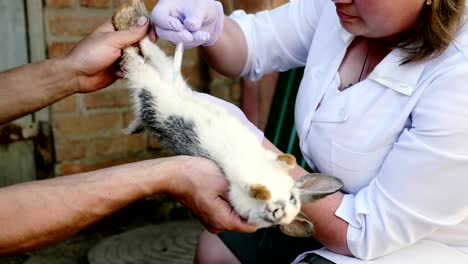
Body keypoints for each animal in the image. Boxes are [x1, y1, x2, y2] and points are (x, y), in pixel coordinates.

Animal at [112, 0, 342, 236]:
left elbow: (249, 187)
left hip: (151, 85)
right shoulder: (264, 163)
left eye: (276, 224)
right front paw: (279, 172)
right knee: (142, 50)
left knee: (137, 56)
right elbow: (281, 163)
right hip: (160, 77)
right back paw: (130, 16)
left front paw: (260, 191)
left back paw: (128, 17)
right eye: (292, 197)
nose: (276, 212)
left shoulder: (238, 190)